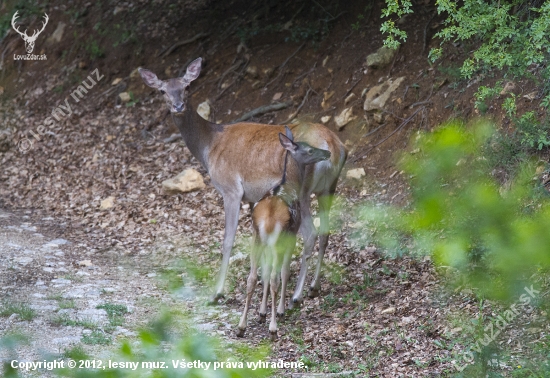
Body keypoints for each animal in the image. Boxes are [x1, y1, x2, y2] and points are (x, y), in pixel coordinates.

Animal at [141, 57, 350, 304]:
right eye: (162, 90)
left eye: (187, 86)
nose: (178, 106)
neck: (209, 146)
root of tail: (334, 147)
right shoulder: (253, 196)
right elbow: (256, 239)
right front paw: (259, 279)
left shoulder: (231, 189)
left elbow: (228, 239)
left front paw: (217, 292)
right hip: (329, 188)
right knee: (325, 233)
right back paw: (313, 287)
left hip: (303, 190)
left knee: (310, 234)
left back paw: (296, 295)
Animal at [237, 127, 332, 340]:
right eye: (309, 150)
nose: (327, 153)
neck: (290, 182)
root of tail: (268, 217)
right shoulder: (291, 234)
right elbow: (284, 271)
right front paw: (277, 311)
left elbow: (264, 272)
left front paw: (262, 313)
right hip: (278, 237)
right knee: (275, 277)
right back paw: (273, 327)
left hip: (257, 237)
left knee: (252, 277)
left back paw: (241, 326)